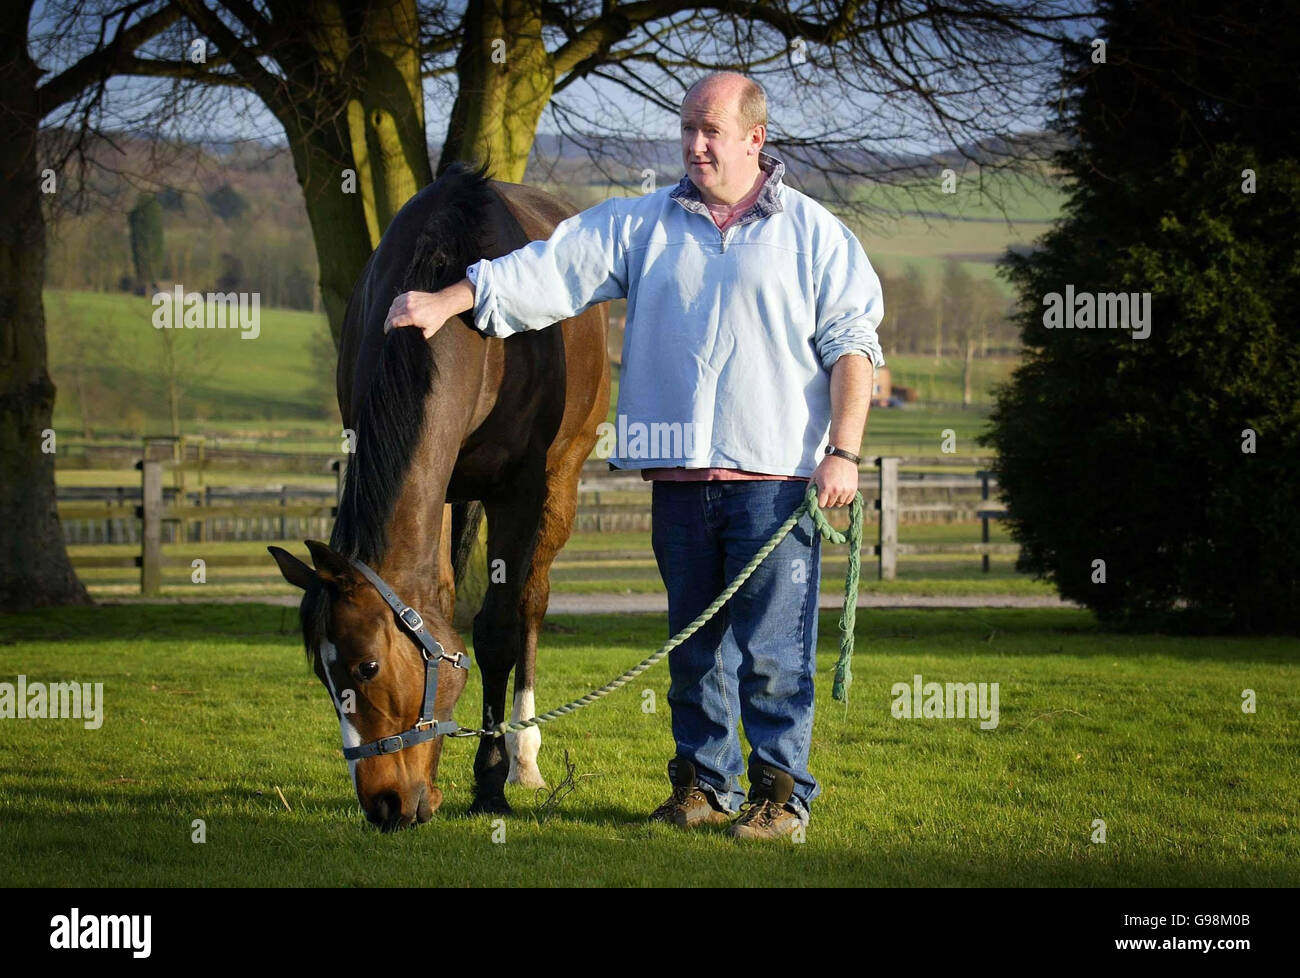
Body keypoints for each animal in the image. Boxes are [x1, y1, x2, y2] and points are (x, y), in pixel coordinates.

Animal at [267, 162, 608, 832]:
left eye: (367, 666)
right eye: (322, 677)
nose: (384, 805)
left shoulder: (518, 489)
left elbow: (497, 632)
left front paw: (491, 780)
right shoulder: (436, 482)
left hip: (560, 483)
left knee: (531, 603)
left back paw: (525, 754)